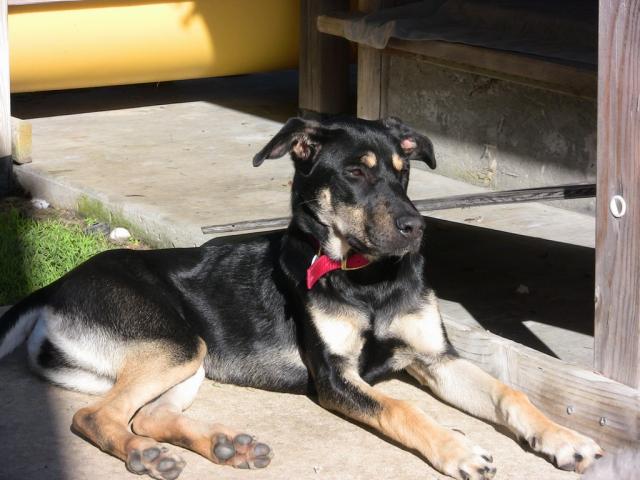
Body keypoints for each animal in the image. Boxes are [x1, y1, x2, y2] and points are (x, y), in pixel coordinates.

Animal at [0, 117, 602, 480]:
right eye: (356, 173)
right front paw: (458, 448)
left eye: (404, 175)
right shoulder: (335, 377)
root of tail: (53, 285)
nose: (417, 229)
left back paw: (222, 445)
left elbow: (510, 394)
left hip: (188, 356)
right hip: (173, 344)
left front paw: (565, 437)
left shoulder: (436, 357)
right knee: (94, 416)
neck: (368, 278)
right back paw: (143, 456)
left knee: (145, 416)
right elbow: (402, 408)